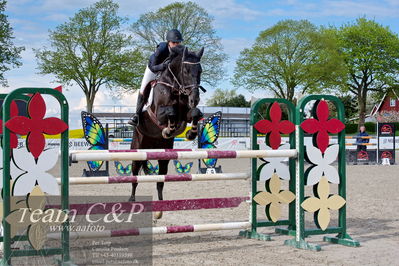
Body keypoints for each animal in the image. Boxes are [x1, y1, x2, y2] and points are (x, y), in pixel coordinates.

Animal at [130, 44, 206, 218]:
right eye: (186, 70)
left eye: (200, 71)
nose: (195, 99)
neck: (176, 86)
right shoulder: (159, 114)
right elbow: (170, 112)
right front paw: (168, 130)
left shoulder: (186, 113)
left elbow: (195, 113)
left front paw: (191, 133)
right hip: (137, 151)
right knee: (134, 177)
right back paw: (131, 201)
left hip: (163, 156)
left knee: (160, 180)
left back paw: (160, 208)